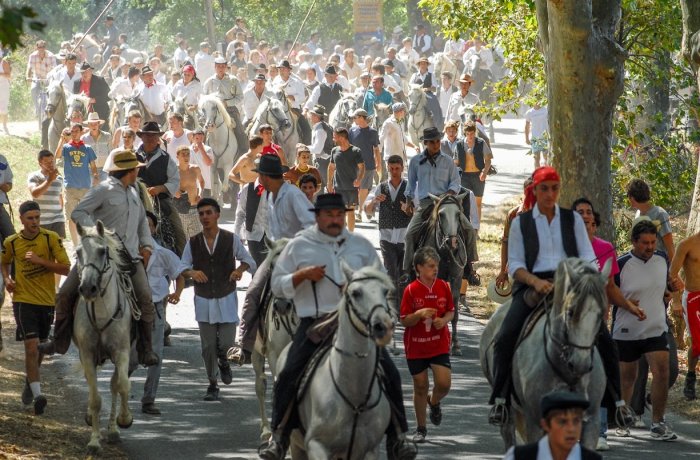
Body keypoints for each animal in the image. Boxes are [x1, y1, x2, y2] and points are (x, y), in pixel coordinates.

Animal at [73, 222, 135, 452]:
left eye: (102, 251)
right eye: (78, 253)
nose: (87, 288)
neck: (101, 314)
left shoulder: (122, 352)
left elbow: (123, 385)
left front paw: (124, 419)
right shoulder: (87, 355)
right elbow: (95, 398)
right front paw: (94, 441)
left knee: (115, 384)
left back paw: (114, 430)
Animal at [288, 264, 396, 458]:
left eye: (385, 291)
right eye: (356, 293)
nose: (383, 327)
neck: (355, 398)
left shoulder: (370, 449)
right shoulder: (316, 445)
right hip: (296, 444)